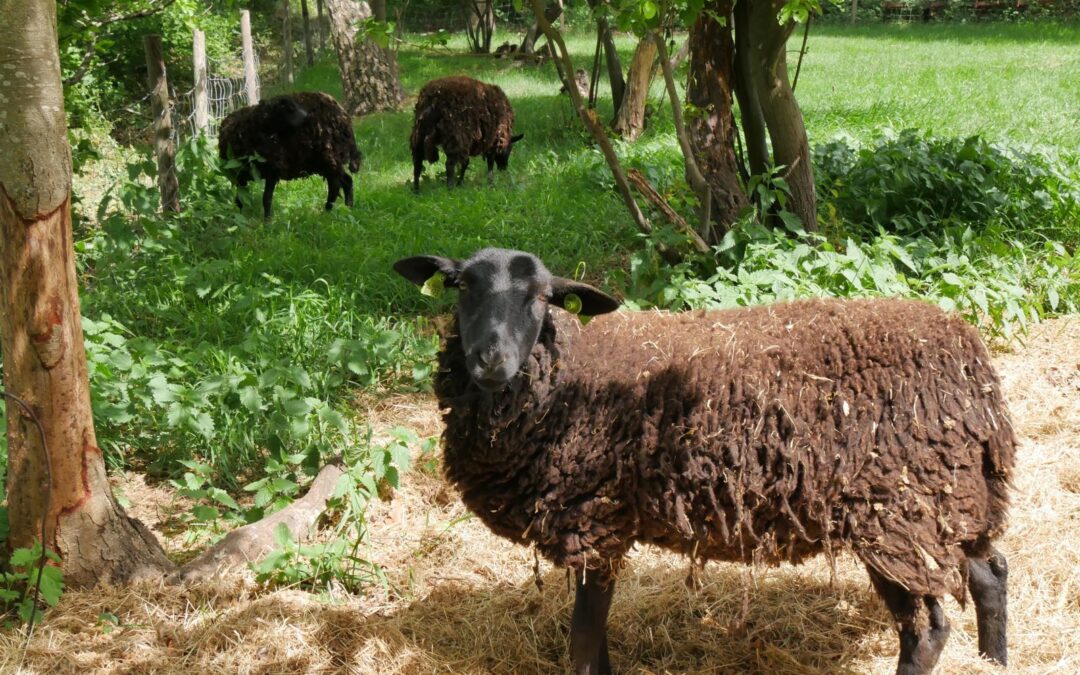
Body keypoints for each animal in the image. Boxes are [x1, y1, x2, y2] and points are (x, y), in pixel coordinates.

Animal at [217, 91, 360, 218]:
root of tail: (343, 115)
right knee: (344, 182)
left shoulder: (273, 170)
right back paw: (345, 209)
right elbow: (240, 200)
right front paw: (237, 218)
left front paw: (267, 222)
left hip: (330, 157)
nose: (308, 116)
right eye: (289, 109)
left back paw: (330, 212)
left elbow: (266, 199)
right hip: (324, 162)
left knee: (337, 185)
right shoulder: (240, 175)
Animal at [393, 247, 1015, 673]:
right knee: (991, 572)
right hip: (953, 499)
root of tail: (970, 359)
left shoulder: (595, 523)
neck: (569, 374)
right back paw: (996, 661)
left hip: (897, 513)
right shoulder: (603, 530)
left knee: (927, 631)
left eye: (542, 297)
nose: (490, 358)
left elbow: (583, 641)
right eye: (461, 286)